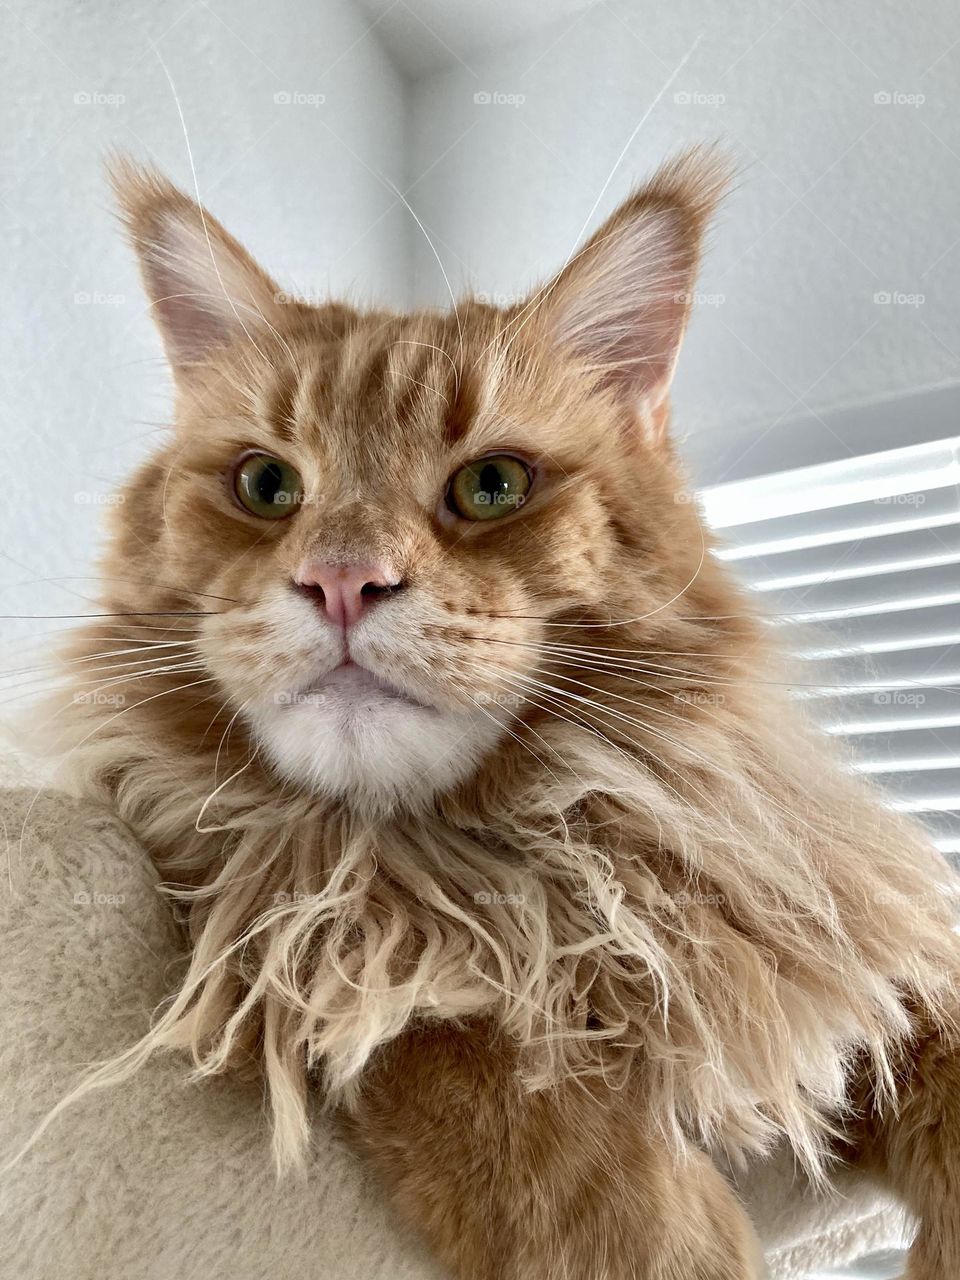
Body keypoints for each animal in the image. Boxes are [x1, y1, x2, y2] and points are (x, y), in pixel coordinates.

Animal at [47, 152, 960, 1280]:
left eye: (492, 485)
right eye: (265, 484)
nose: (341, 580)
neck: (531, 860)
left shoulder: (830, 935)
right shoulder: (317, 921)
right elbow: (478, 1068)